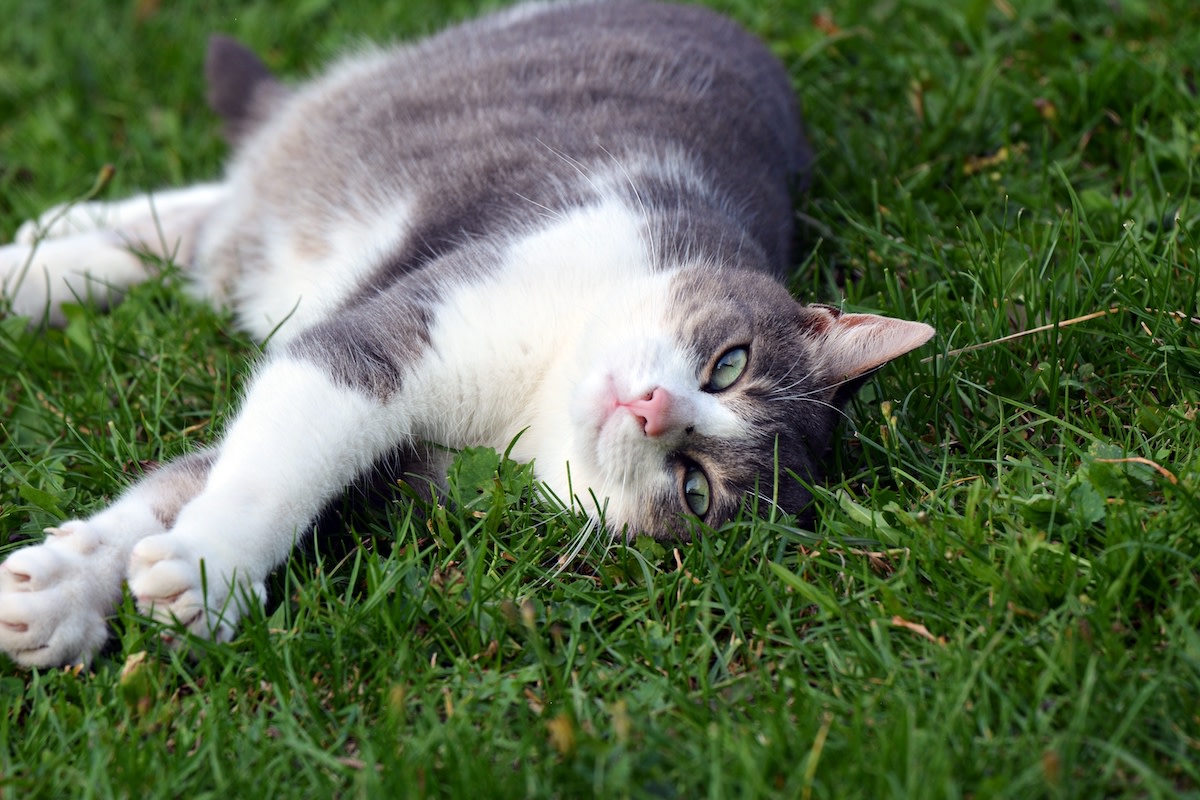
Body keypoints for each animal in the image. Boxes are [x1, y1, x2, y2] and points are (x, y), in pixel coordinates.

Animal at [0, 0, 931, 671]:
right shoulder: (387, 337)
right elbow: (267, 467)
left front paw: (98, 583)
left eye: (694, 489)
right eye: (729, 364)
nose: (651, 408)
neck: (541, 390)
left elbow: (205, 478)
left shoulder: (405, 469)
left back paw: (44, 265)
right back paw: (39, 253)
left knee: (210, 236)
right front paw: (184, 567)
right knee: (226, 202)